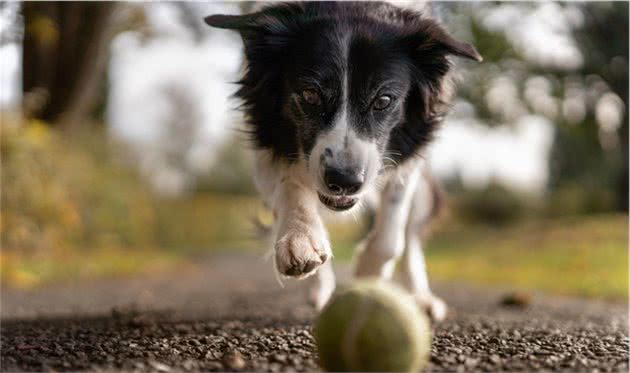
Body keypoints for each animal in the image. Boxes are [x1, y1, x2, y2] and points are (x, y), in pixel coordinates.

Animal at [205, 0, 482, 320]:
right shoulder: (266, 141)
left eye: (383, 100)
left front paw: (367, 276)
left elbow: (391, 235)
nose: (344, 182)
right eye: (310, 94)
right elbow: (290, 187)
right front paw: (300, 239)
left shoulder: (409, 157)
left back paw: (421, 298)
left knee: (411, 236)